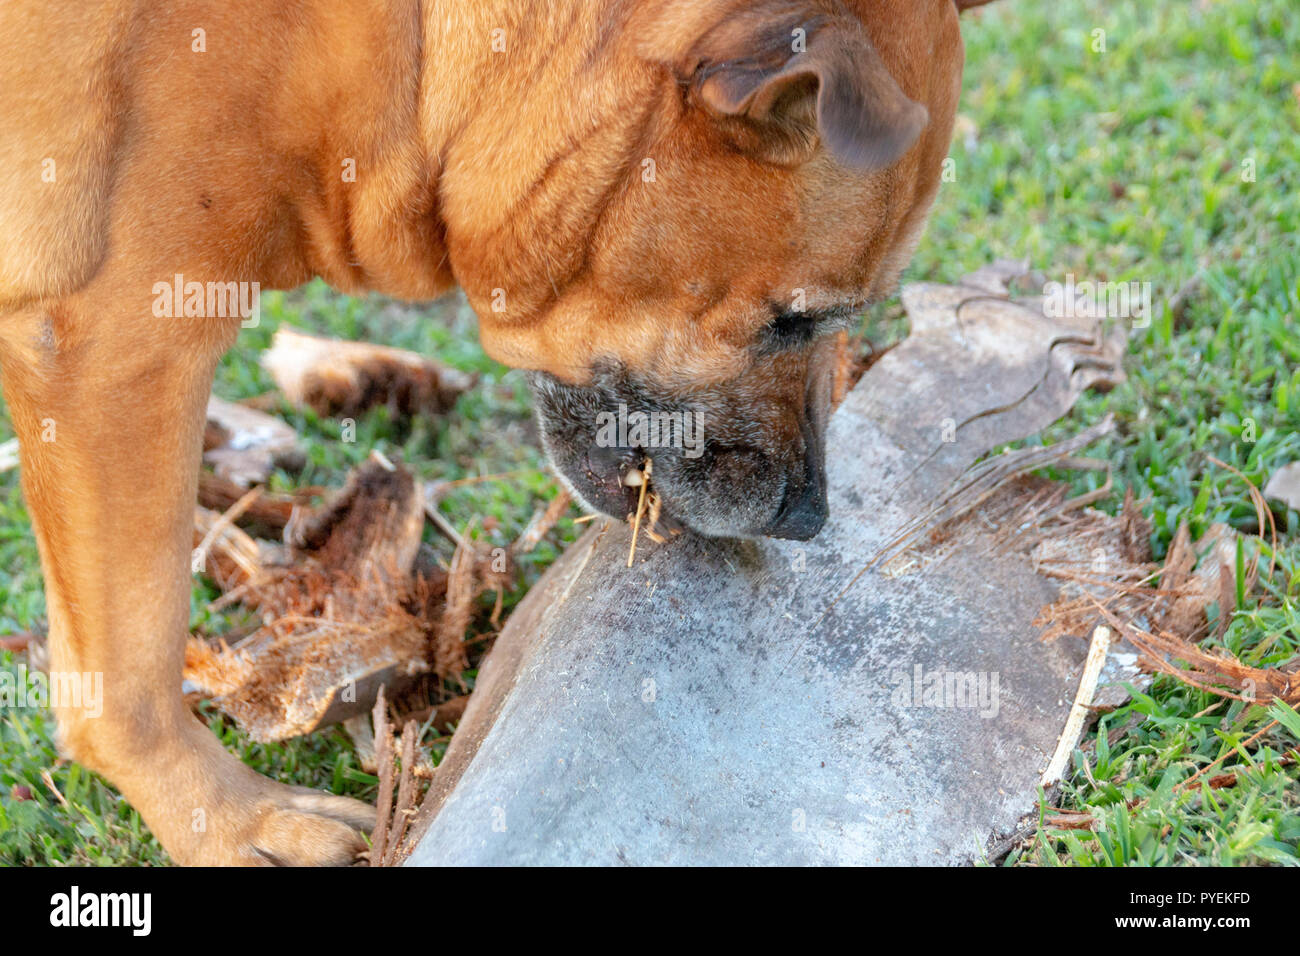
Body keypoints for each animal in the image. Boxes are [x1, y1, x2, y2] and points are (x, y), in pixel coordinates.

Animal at [0, 1, 977, 868]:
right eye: (795, 320)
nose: (810, 520)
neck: (416, 45)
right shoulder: (116, 346)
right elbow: (128, 667)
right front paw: (228, 821)